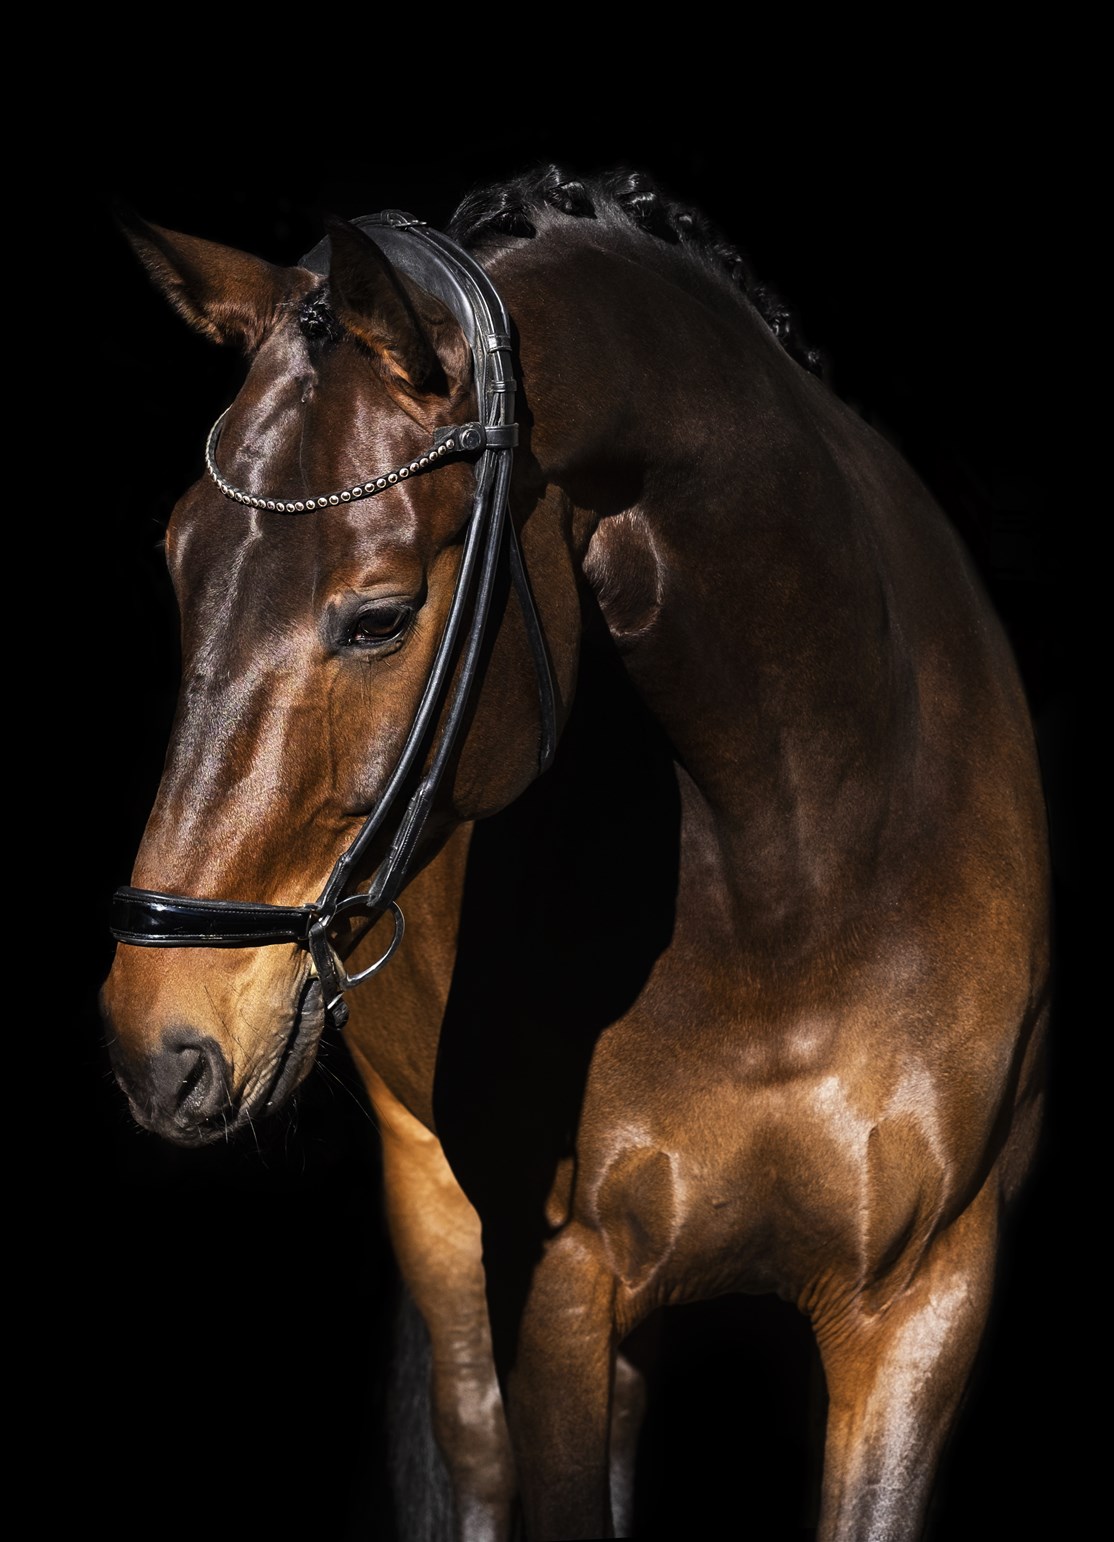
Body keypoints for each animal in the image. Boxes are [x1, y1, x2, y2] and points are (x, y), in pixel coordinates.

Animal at [100, 165, 1051, 1541]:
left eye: (380, 616)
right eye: (178, 564)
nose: (156, 1040)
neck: (803, 872)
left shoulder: (924, 1303)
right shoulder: (560, 1291)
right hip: (434, 1201)